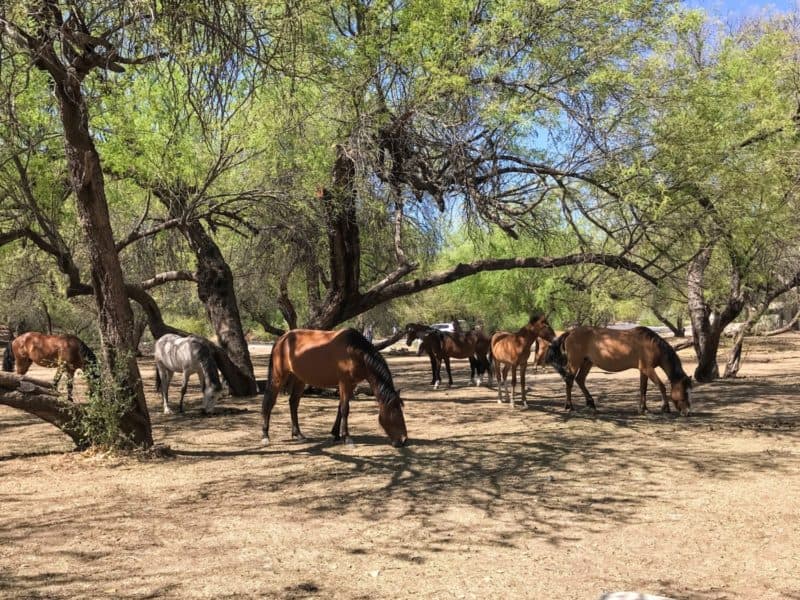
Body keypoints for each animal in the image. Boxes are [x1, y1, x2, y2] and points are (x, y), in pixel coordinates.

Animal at [262, 326, 410, 448]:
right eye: (395, 412)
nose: (404, 440)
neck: (354, 350)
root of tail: (281, 339)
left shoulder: (352, 384)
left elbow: (340, 408)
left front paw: (336, 434)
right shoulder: (344, 382)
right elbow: (345, 409)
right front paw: (347, 438)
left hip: (299, 379)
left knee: (293, 403)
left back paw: (298, 434)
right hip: (278, 376)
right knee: (269, 402)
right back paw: (265, 435)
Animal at [548, 326, 692, 414]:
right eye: (684, 391)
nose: (687, 412)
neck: (651, 344)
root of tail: (571, 332)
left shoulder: (643, 370)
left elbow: (643, 389)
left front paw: (643, 408)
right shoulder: (648, 369)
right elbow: (661, 386)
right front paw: (665, 407)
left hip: (587, 362)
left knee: (580, 380)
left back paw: (591, 404)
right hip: (575, 363)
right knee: (569, 380)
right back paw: (569, 406)